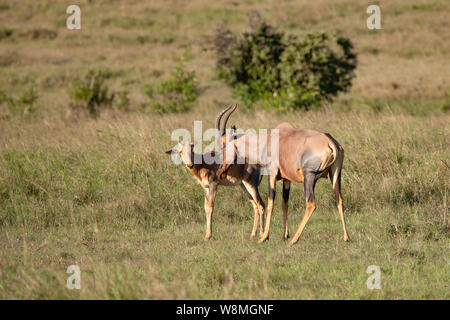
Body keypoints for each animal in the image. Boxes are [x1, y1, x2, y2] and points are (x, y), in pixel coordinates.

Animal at [166, 106, 266, 241]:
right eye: (180, 151)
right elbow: (205, 207)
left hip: (251, 185)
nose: (190, 165)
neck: (204, 162)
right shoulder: (205, 187)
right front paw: (207, 234)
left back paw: (262, 236)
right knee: (255, 206)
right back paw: (252, 234)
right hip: (243, 186)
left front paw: (208, 236)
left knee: (261, 205)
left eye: (191, 149)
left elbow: (210, 207)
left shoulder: (214, 185)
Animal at [216, 106, 350, 246]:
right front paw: (284, 235)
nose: (220, 172)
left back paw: (294, 239)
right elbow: (284, 203)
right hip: (336, 175)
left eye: (223, 145)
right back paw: (346, 237)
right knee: (339, 201)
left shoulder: (272, 173)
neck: (270, 140)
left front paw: (264, 237)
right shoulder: (287, 179)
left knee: (311, 204)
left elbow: (270, 203)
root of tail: (331, 142)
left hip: (309, 177)